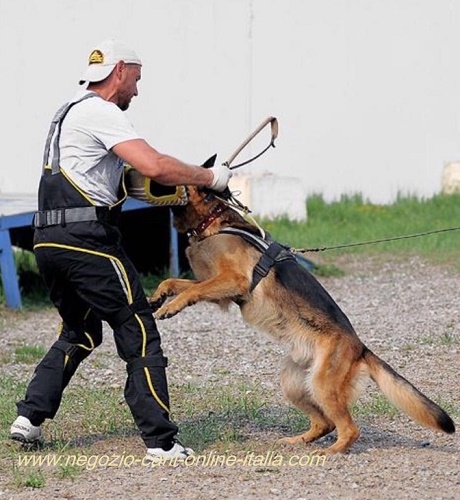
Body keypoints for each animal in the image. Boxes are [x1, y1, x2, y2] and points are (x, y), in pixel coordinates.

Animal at [150, 177, 456, 458]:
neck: (214, 222)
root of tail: (361, 347)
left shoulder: (233, 281)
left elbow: (193, 289)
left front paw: (169, 307)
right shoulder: (219, 290)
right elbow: (176, 282)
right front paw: (159, 297)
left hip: (321, 386)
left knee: (349, 428)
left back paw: (331, 451)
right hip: (295, 384)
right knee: (325, 423)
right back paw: (299, 441)